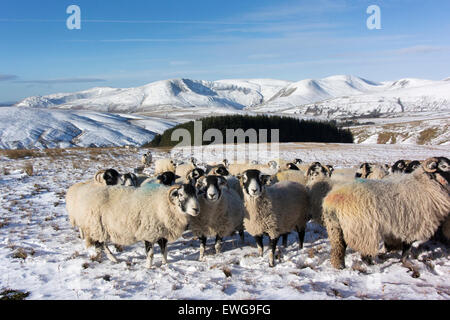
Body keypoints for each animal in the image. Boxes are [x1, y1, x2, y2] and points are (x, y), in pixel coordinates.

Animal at [66, 182, 200, 268]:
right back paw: (110, 259)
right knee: (101, 244)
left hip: (100, 228)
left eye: (195, 194)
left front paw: (165, 265)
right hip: (97, 226)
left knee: (101, 244)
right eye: (181, 194)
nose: (196, 209)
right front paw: (148, 268)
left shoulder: (162, 234)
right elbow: (150, 254)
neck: (163, 204)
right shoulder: (148, 233)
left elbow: (164, 252)